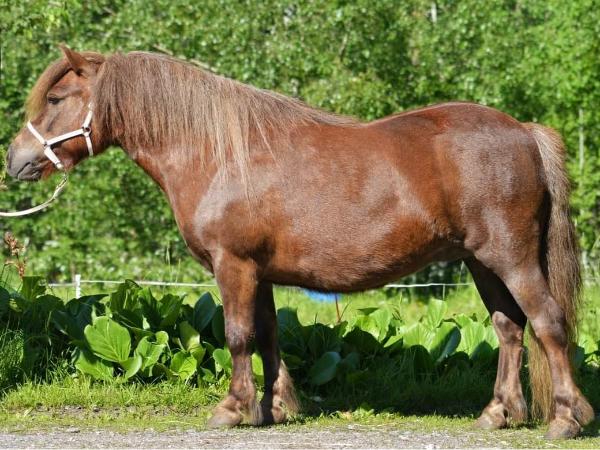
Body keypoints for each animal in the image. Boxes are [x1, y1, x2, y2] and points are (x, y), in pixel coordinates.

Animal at [6, 46, 594, 439]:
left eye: (56, 97)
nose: (15, 160)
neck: (215, 153)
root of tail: (523, 131)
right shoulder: (259, 273)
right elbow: (267, 336)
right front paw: (275, 407)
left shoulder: (233, 266)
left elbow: (237, 336)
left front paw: (232, 409)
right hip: (482, 263)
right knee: (510, 329)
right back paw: (498, 413)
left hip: (511, 257)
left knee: (547, 324)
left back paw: (566, 419)